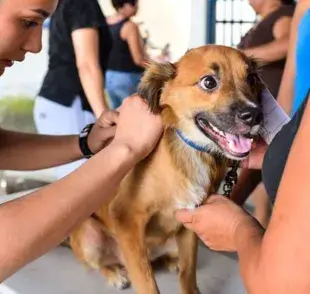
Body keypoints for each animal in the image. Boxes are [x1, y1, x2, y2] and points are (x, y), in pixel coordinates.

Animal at [70, 44, 264, 292]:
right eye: (209, 82)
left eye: (252, 78)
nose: (255, 115)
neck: (192, 151)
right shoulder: (127, 219)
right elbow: (147, 283)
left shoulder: (191, 221)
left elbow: (188, 272)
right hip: (89, 235)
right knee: (100, 264)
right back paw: (114, 273)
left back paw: (170, 262)